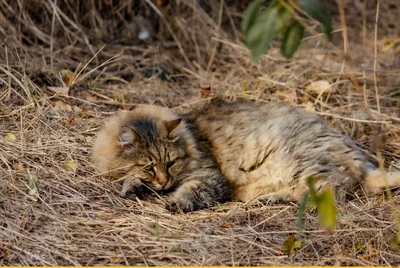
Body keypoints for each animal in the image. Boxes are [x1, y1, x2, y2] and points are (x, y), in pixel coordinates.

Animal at [91, 99, 400, 213]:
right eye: (149, 166)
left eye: (171, 162)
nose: (165, 182)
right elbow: (129, 178)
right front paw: (133, 186)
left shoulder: (209, 175)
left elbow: (193, 190)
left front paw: (176, 202)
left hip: (304, 164)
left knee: (330, 192)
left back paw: (270, 199)